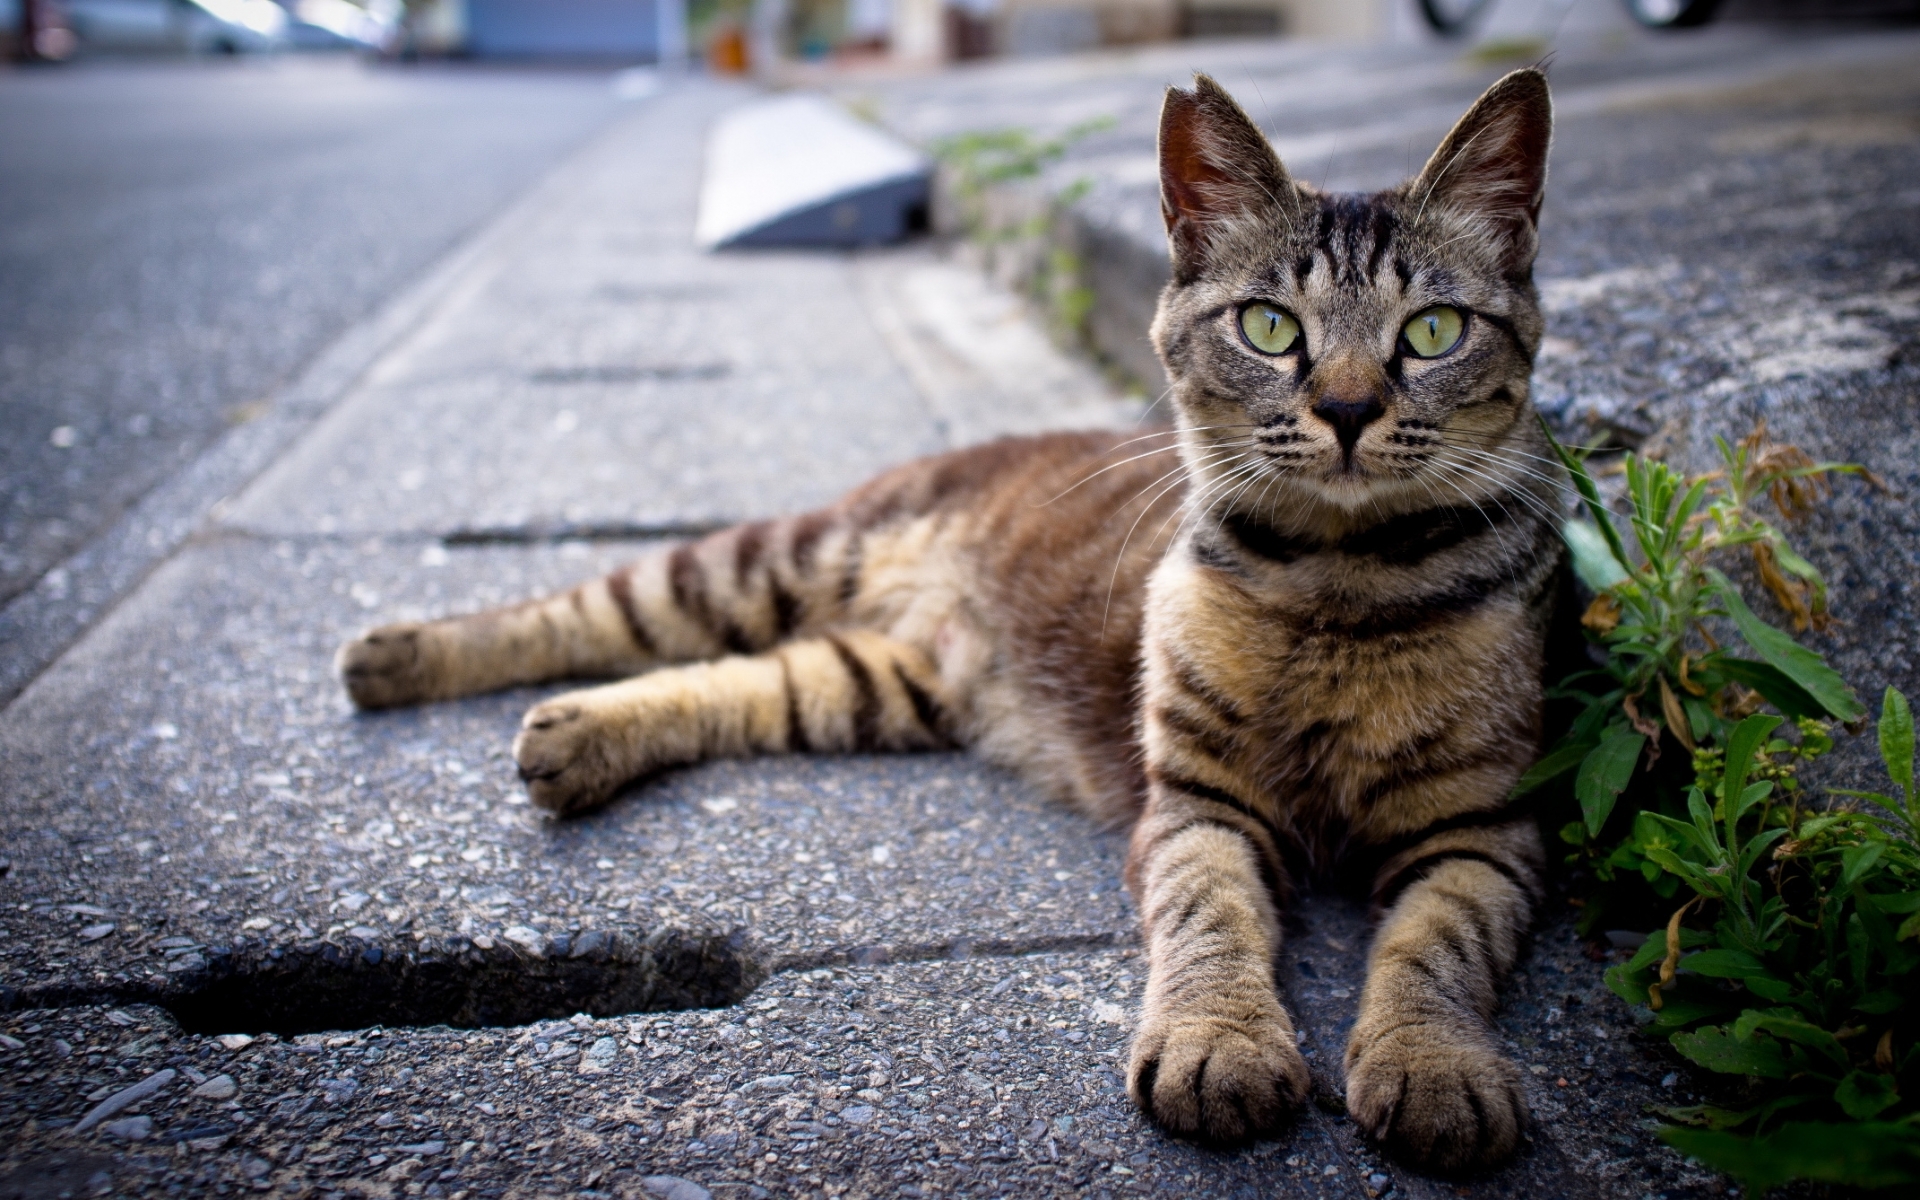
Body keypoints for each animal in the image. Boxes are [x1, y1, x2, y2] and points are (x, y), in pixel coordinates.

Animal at [341, 67, 1559, 1167]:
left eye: (1433, 330)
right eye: (1268, 327)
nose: (1348, 407)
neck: (1339, 589)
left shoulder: (1486, 835)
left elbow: (1434, 952)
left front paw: (1432, 1066)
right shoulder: (1195, 809)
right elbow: (1212, 925)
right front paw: (1221, 1042)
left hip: (874, 684)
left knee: (727, 679)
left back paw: (580, 736)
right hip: (770, 561)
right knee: (593, 608)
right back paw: (397, 656)